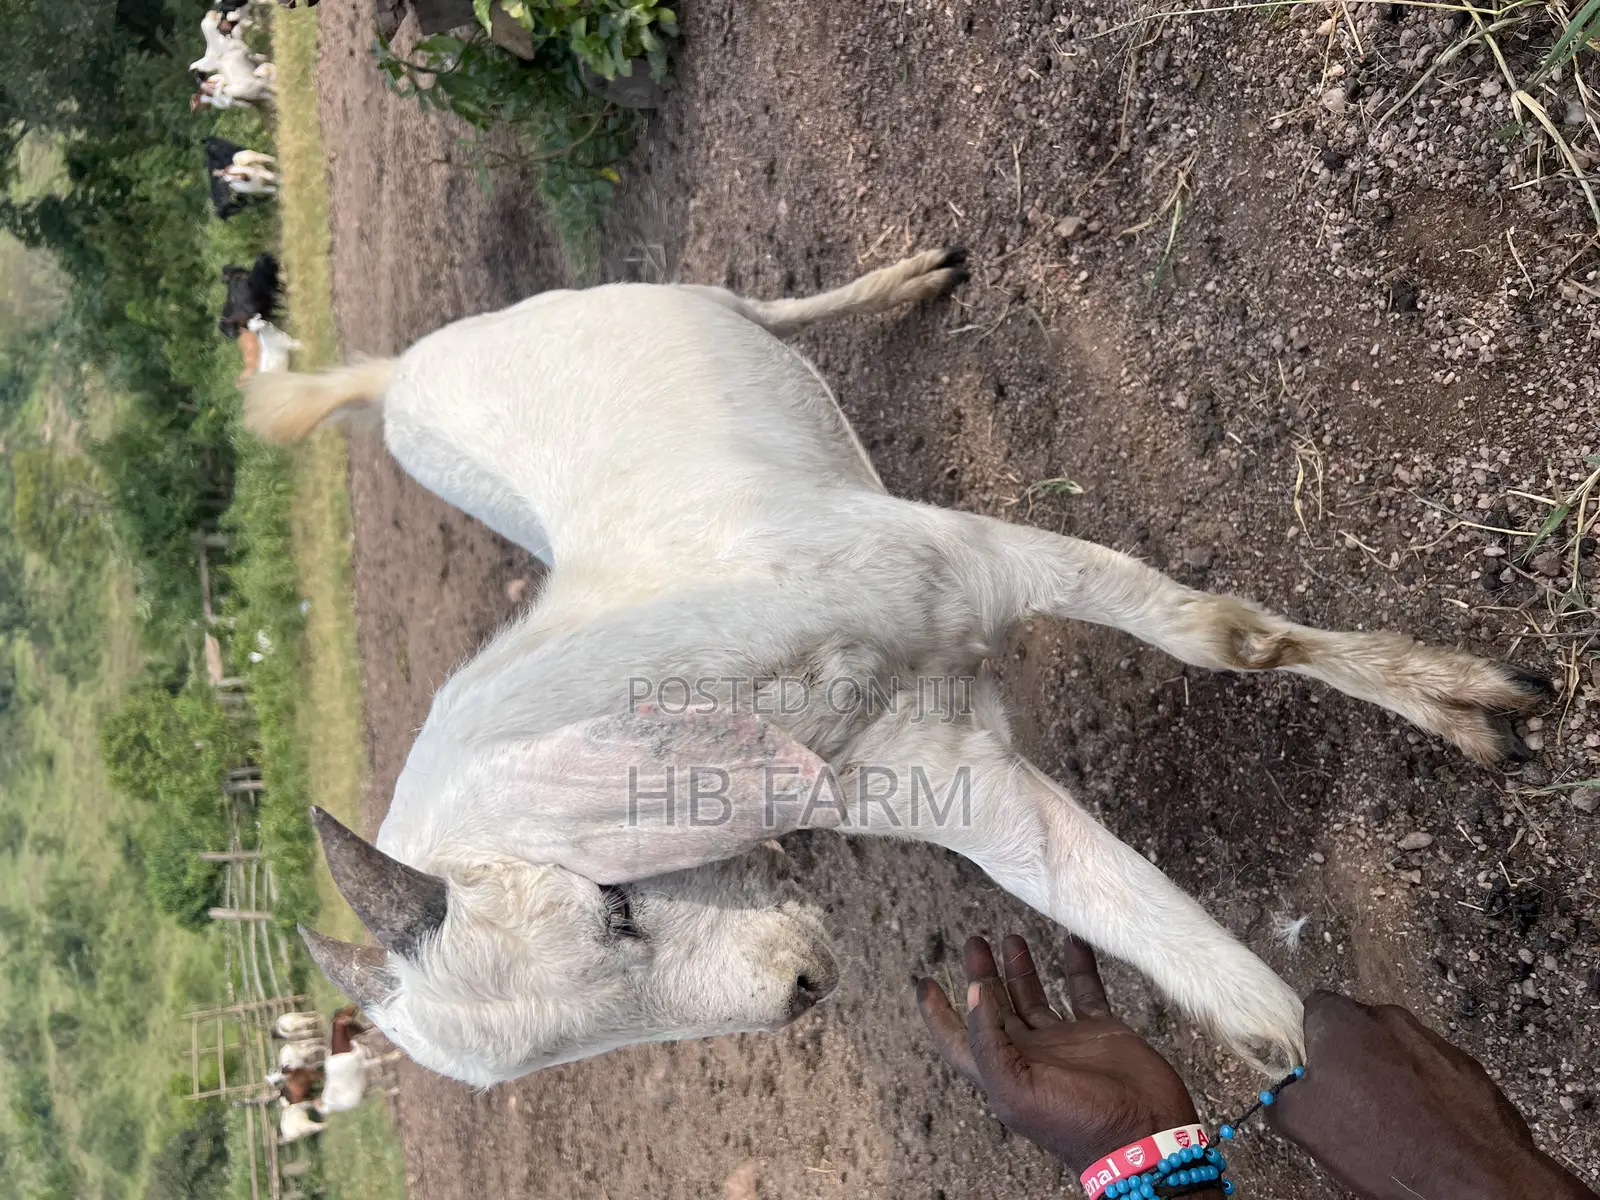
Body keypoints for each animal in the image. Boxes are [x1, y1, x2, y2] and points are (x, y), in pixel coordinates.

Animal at [246, 249, 1552, 1088]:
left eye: (613, 905)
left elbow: (1220, 638)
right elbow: (1181, 958)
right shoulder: (935, 780)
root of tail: (391, 378)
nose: (797, 991)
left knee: (757, 302)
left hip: (642, 296)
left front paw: (1461, 703)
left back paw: (905, 281)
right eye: (575, 1048)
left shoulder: (973, 555)